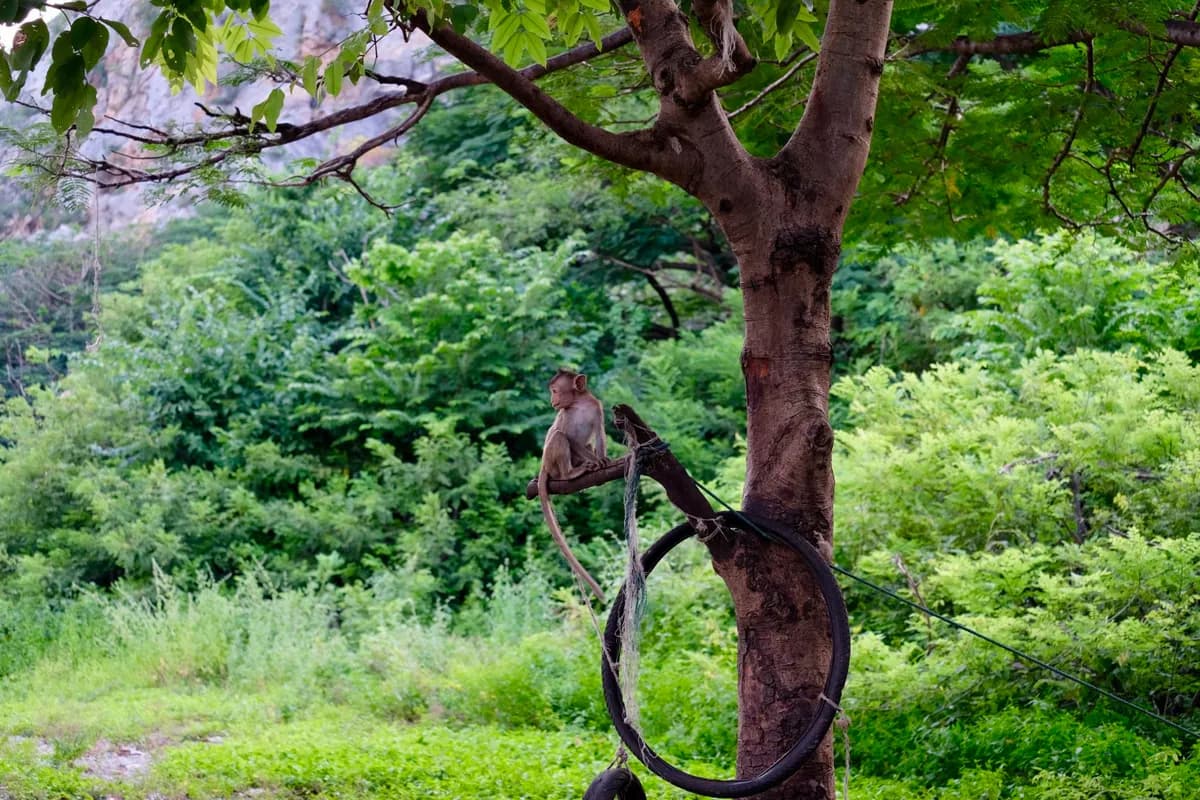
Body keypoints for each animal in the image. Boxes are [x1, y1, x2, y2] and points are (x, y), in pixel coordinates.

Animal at [538, 369, 608, 602]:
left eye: (555, 390)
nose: (552, 401)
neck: (579, 403)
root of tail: (543, 466)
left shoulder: (597, 407)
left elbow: (599, 434)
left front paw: (603, 459)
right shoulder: (566, 415)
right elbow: (570, 438)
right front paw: (597, 462)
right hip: (551, 462)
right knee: (559, 436)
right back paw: (571, 473)